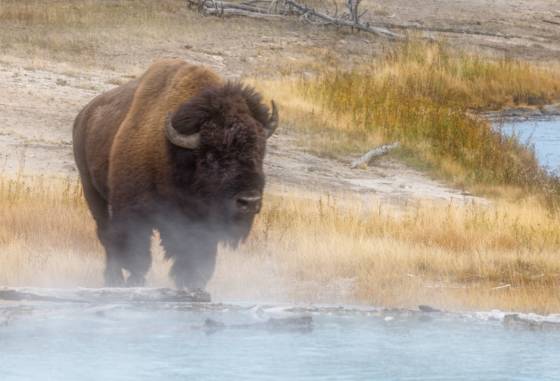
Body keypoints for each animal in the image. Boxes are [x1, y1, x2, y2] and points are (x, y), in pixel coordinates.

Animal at [72, 60, 278, 288]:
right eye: (210, 156)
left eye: (259, 152)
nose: (249, 201)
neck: (174, 155)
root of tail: (83, 116)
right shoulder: (134, 212)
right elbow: (137, 255)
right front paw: (135, 281)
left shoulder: (199, 223)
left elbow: (197, 256)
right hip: (92, 192)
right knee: (106, 235)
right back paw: (113, 279)